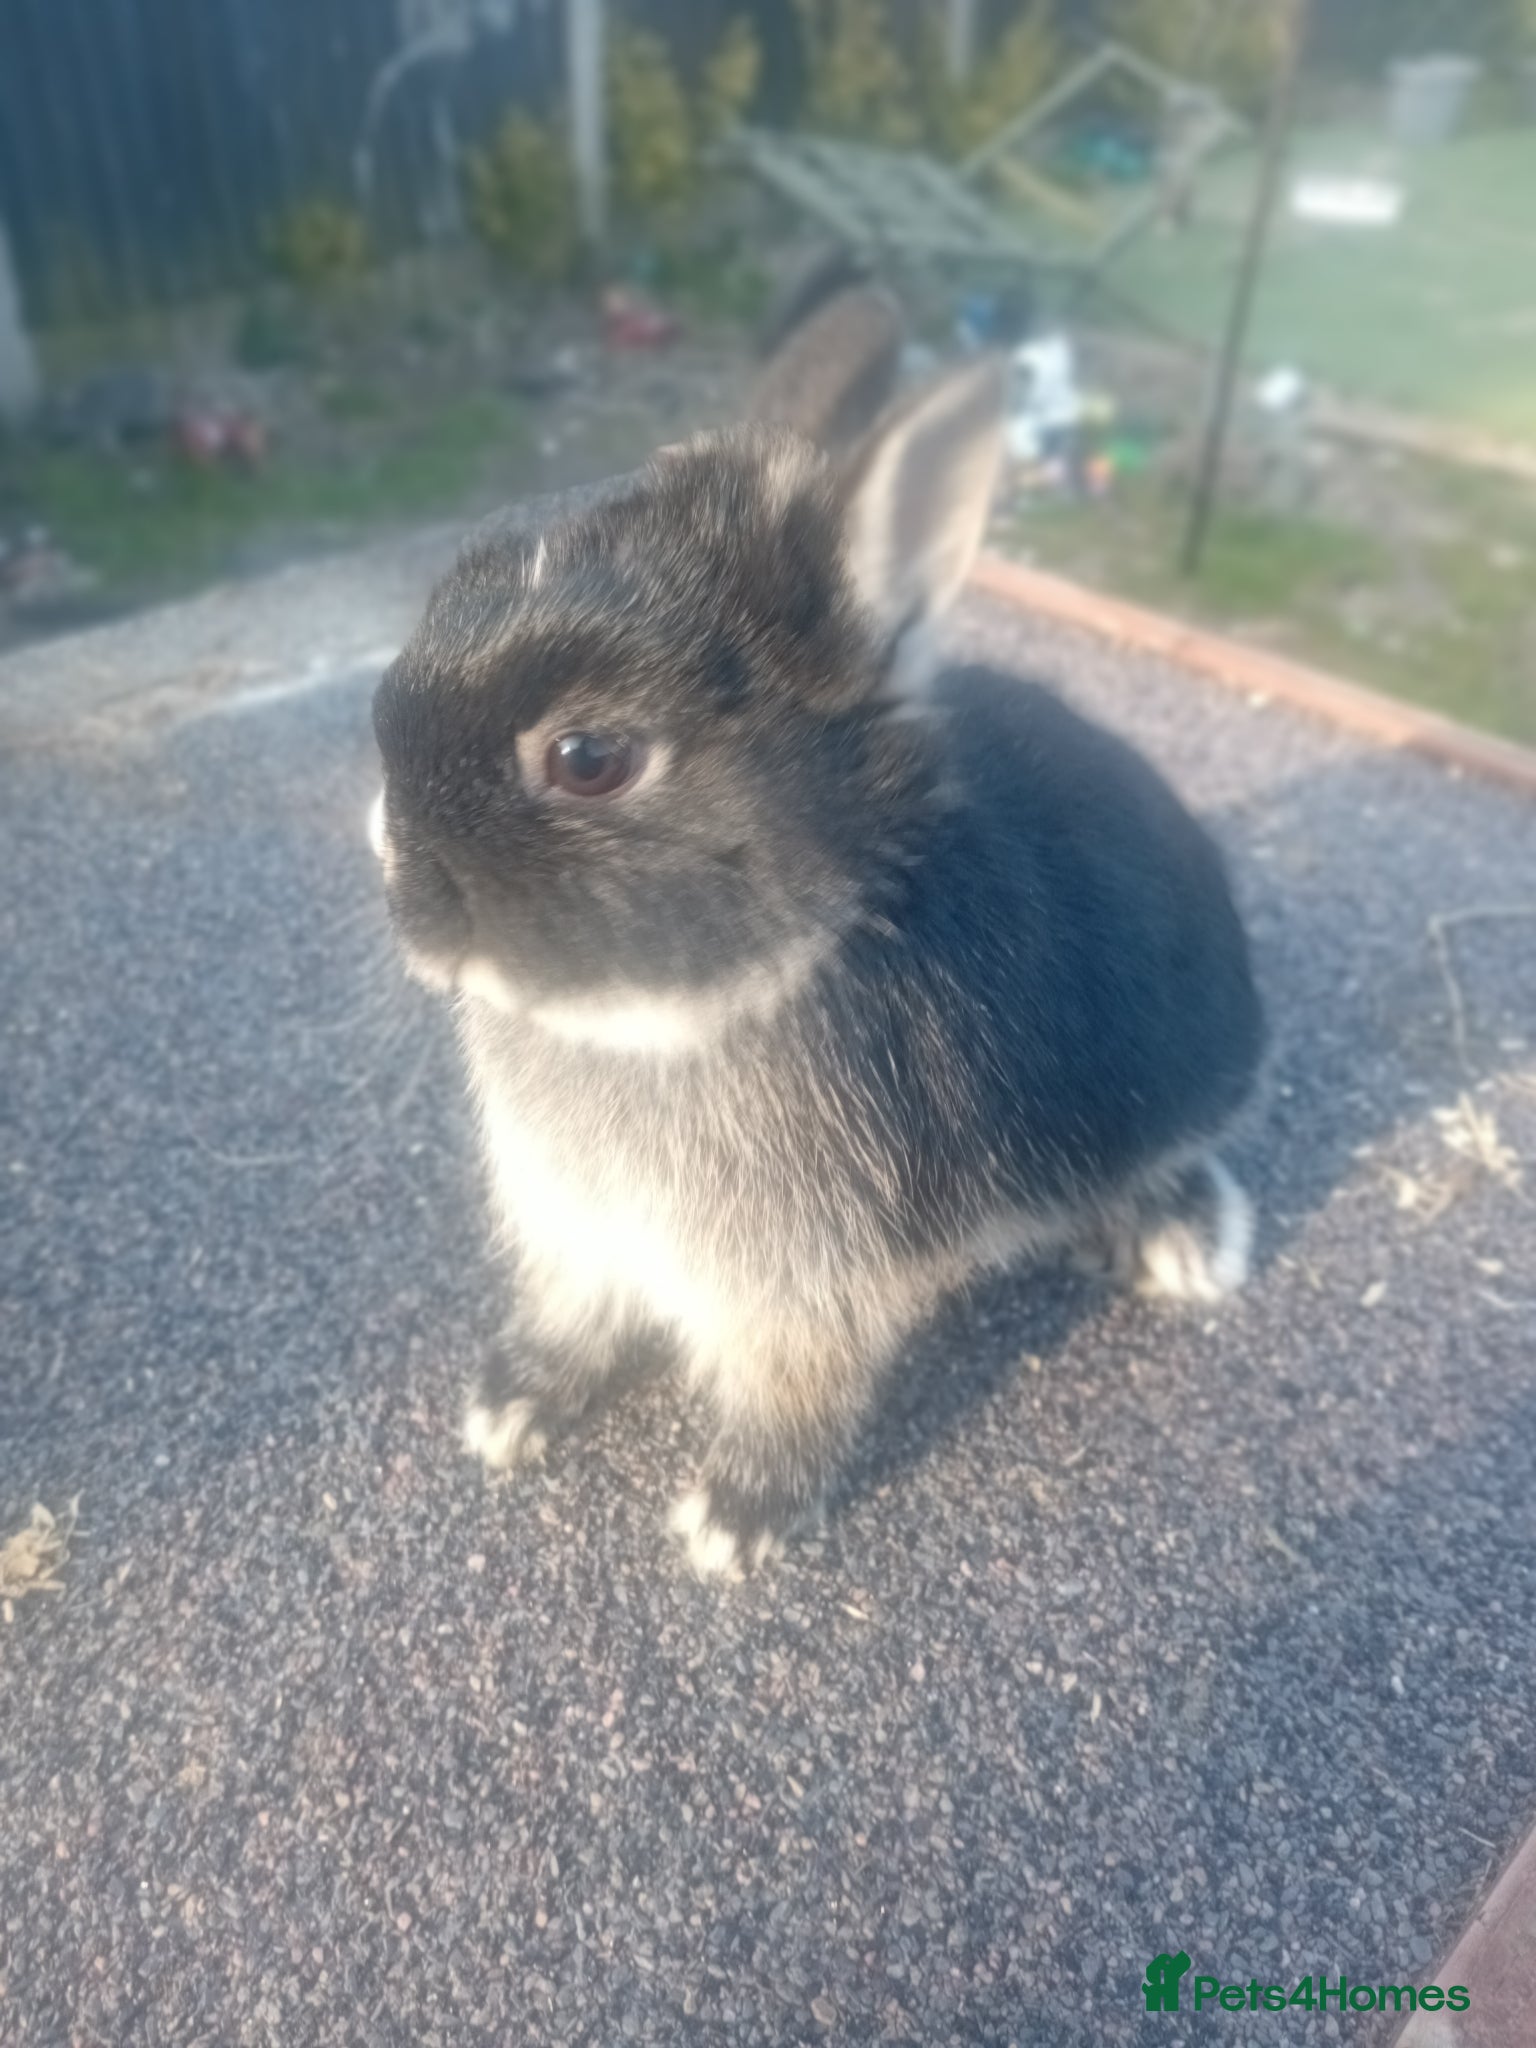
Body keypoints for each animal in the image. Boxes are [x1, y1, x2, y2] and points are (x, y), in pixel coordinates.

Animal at [369, 356, 1265, 1580]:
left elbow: (796, 1394)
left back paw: (1186, 1244)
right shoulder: (581, 1229)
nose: (395, 869)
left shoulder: (809, 1288)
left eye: (588, 758)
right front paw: (512, 1406)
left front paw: (733, 1521)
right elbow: (574, 1309)